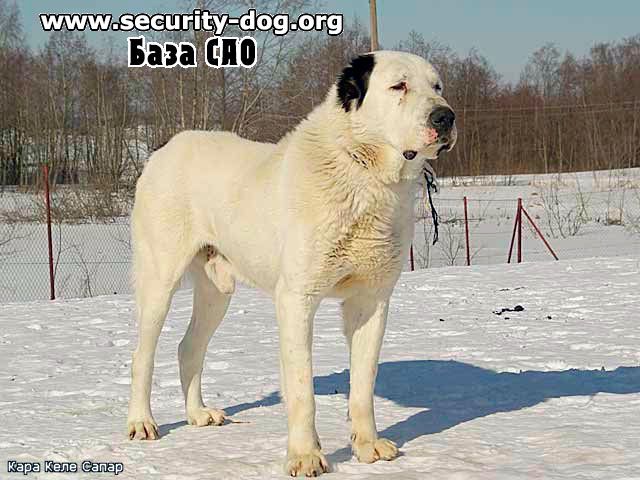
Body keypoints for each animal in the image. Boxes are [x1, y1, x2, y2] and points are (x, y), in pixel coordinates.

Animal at [126, 49, 456, 476]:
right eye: (399, 86)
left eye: (437, 86)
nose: (445, 116)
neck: (361, 171)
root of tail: (166, 146)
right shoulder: (296, 300)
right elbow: (302, 390)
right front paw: (305, 456)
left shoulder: (372, 302)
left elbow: (363, 384)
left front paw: (367, 446)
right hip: (159, 280)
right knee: (142, 355)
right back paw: (141, 422)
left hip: (217, 290)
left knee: (188, 347)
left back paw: (198, 414)